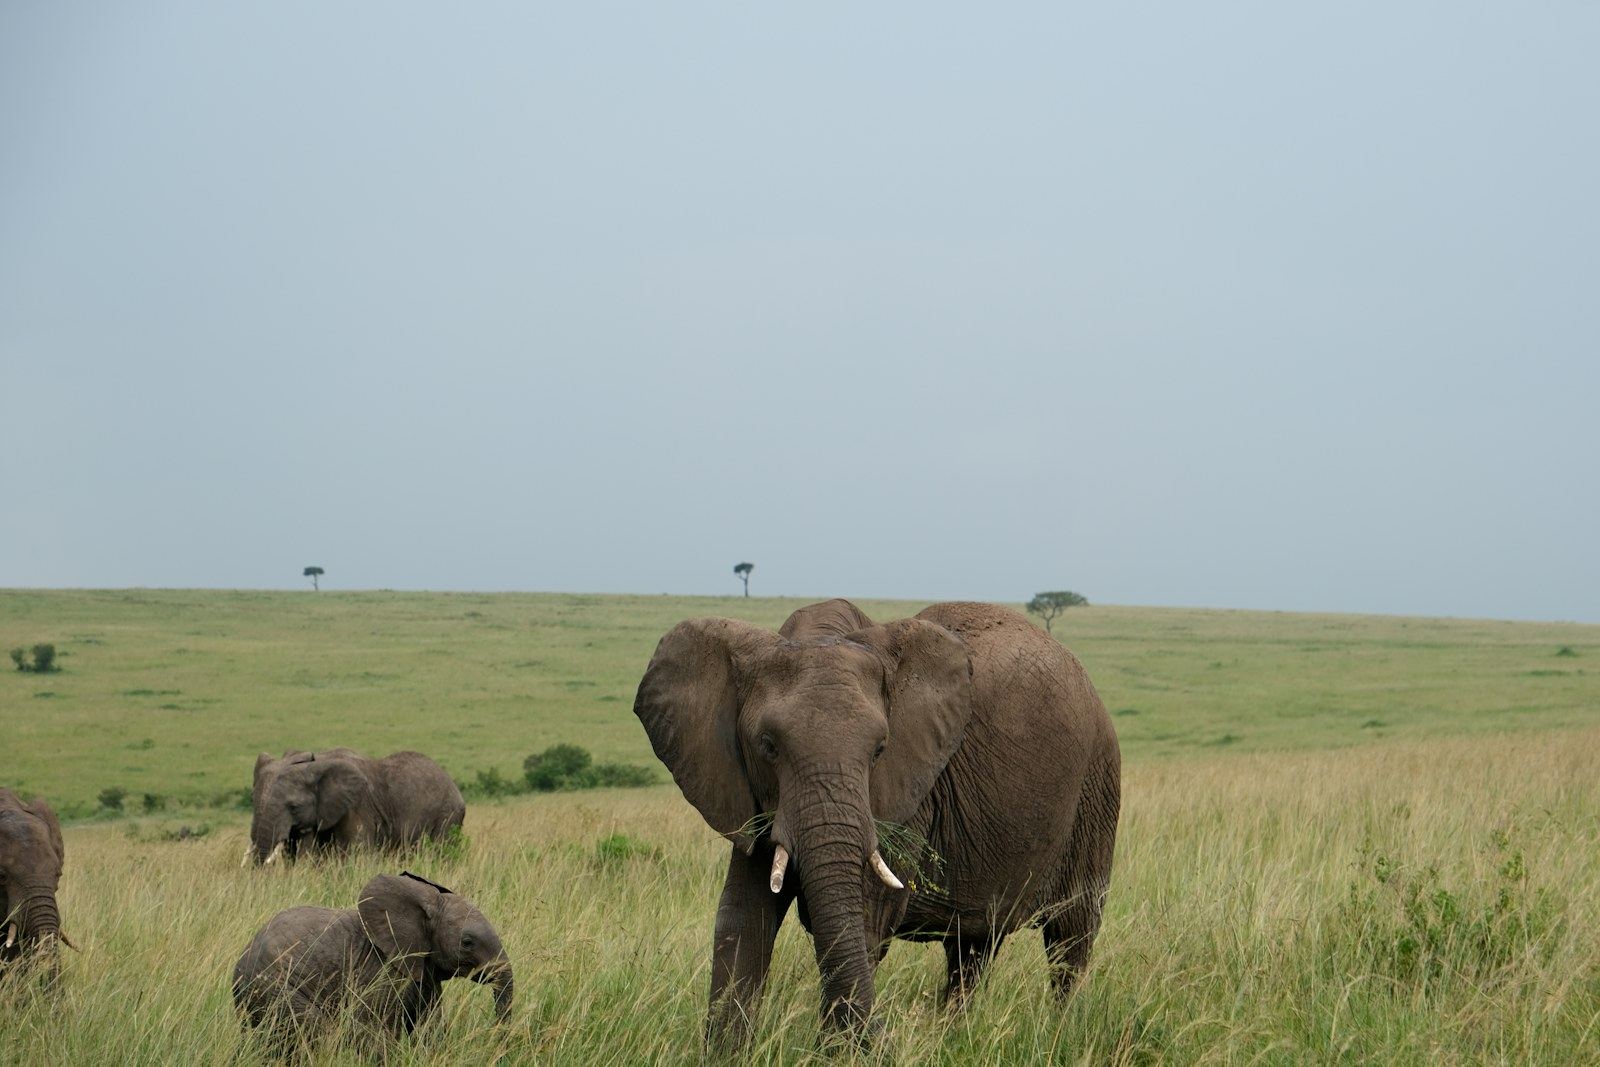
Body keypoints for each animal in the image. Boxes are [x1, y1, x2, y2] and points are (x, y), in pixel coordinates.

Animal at [634, 599, 1121, 1043]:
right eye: (767, 746)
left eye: (879, 751)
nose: (886, 1032)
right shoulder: (748, 792)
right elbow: (742, 919)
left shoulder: (906, 792)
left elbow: (865, 919)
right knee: (972, 948)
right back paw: (951, 1037)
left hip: (1097, 786)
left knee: (1070, 937)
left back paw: (1060, 1033)